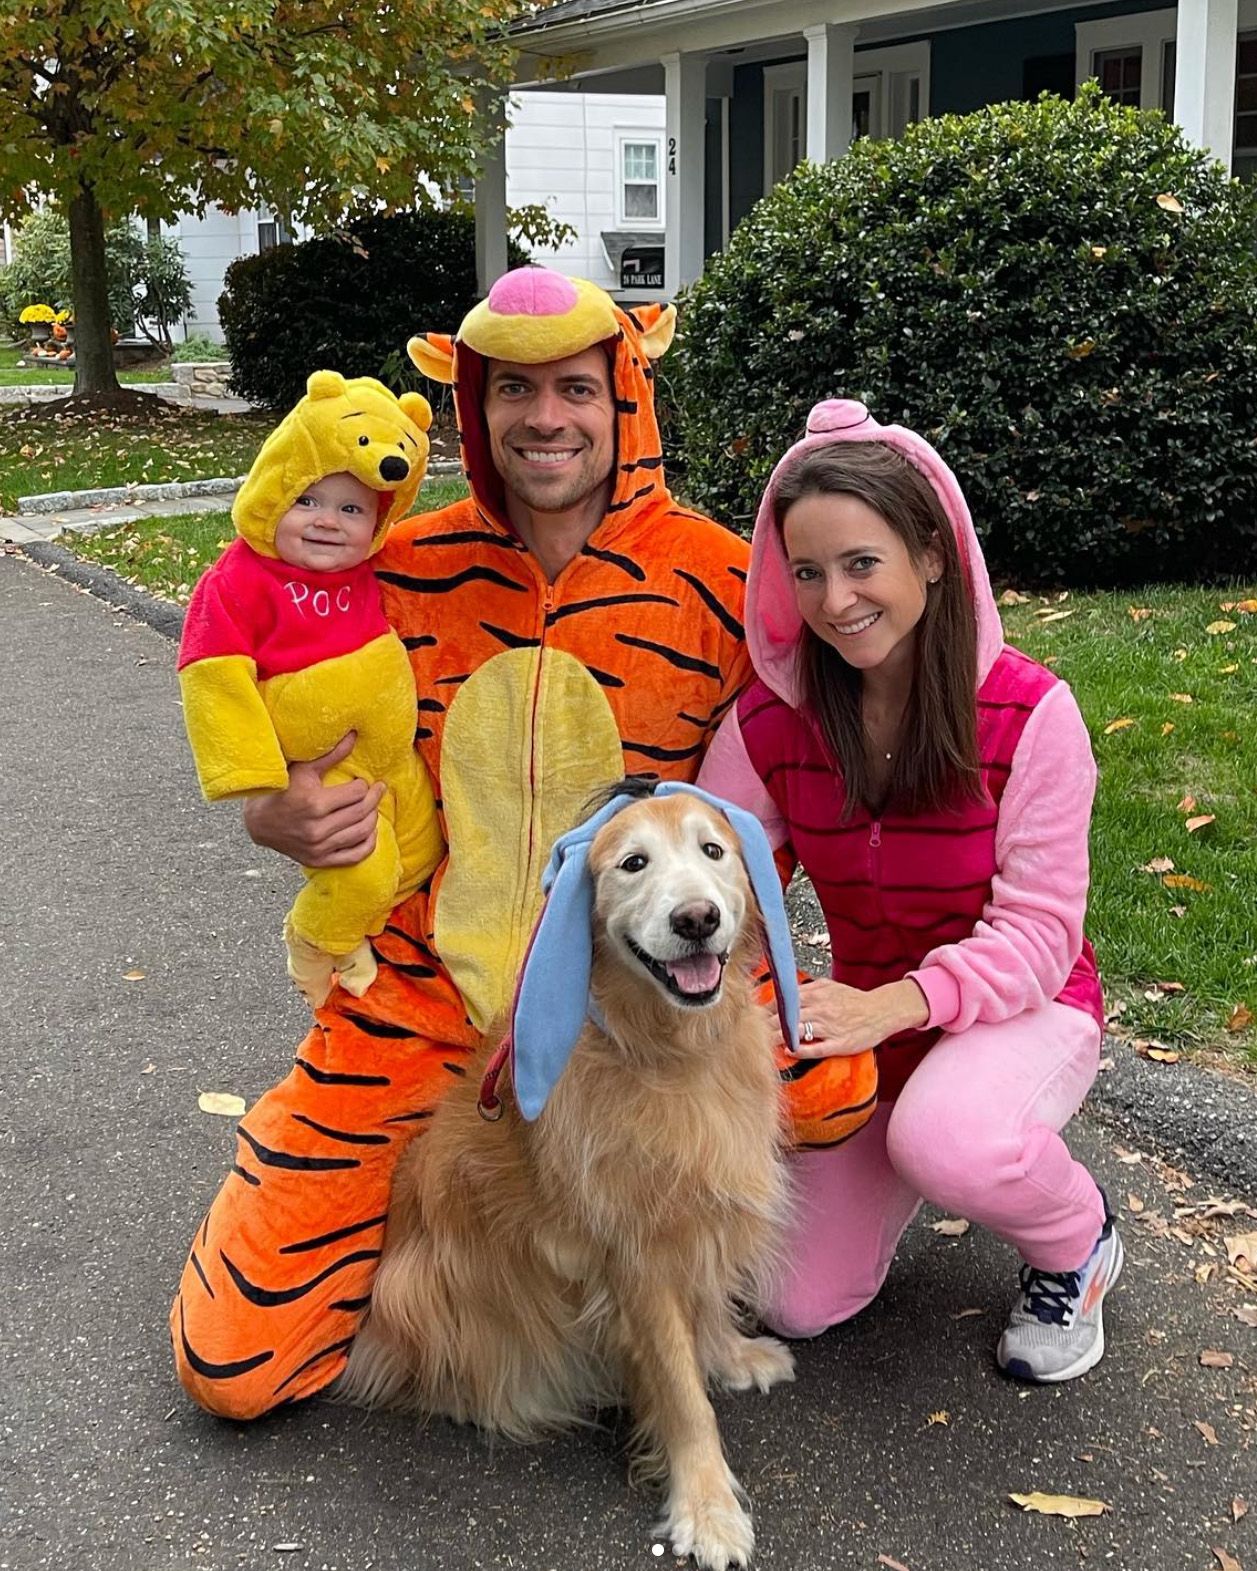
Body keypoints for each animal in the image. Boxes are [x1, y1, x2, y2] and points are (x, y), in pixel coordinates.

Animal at [339, 785, 791, 1571]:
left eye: (713, 850)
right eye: (633, 863)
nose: (696, 918)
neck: (669, 1055)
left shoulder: (701, 1207)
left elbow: (707, 1302)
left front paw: (731, 1355)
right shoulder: (635, 1255)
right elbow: (680, 1391)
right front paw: (705, 1507)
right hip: (423, 1287)